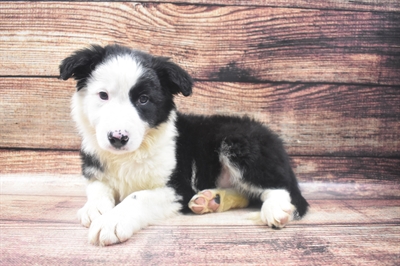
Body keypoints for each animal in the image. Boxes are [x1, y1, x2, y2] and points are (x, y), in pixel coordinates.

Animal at [59, 44, 310, 246]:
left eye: (143, 99)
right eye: (103, 95)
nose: (118, 138)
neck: (130, 154)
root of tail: (272, 137)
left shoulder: (178, 188)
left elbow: (138, 197)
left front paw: (111, 222)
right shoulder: (95, 166)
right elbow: (96, 186)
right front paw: (94, 208)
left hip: (240, 144)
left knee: (279, 187)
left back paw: (275, 209)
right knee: (246, 193)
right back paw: (212, 200)